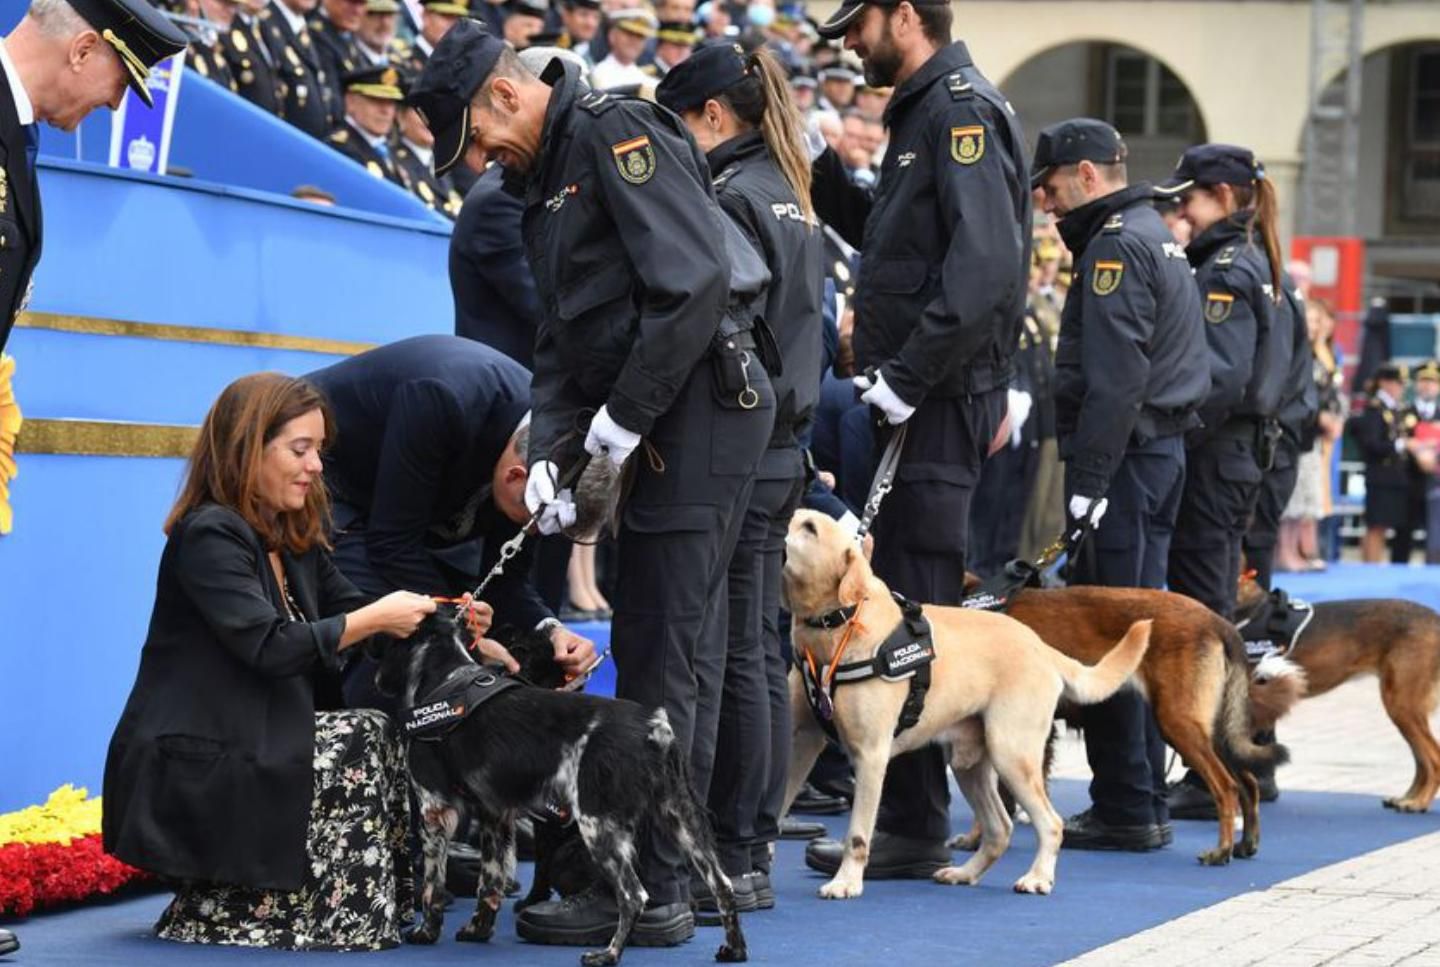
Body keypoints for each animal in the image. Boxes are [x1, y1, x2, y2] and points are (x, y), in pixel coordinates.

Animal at [371, 613, 754, 967]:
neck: (443, 679)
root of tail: (654, 729)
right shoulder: (494, 815)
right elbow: (489, 883)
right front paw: (478, 930)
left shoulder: (435, 810)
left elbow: (432, 887)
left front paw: (426, 932)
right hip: (681, 819)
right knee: (723, 885)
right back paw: (734, 950)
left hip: (599, 826)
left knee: (634, 896)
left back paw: (608, 954)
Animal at [783, 512, 1152, 897]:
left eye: (809, 528)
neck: (838, 624)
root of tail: (1040, 645)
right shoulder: (801, 742)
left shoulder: (870, 755)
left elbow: (857, 834)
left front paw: (846, 882)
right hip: (971, 763)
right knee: (999, 829)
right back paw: (965, 873)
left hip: (1011, 753)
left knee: (1050, 823)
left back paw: (1037, 877)